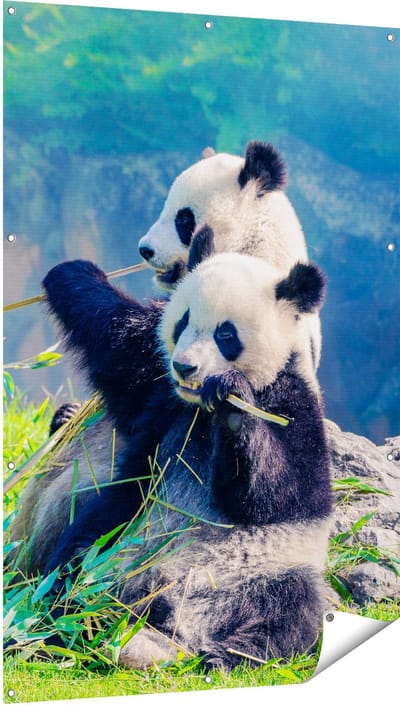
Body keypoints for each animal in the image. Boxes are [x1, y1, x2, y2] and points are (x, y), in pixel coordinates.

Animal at [38, 226, 332, 669]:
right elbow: (121, 344)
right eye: (183, 322)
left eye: (226, 334)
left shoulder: (293, 403)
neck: (199, 411)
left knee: (291, 610)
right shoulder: (162, 398)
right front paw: (73, 272)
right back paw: (65, 622)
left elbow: (280, 494)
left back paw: (227, 655)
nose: (185, 367)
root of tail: (172, 617)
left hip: (268, 569)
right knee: (77, 559)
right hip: (120, 537)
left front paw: (233, 403)